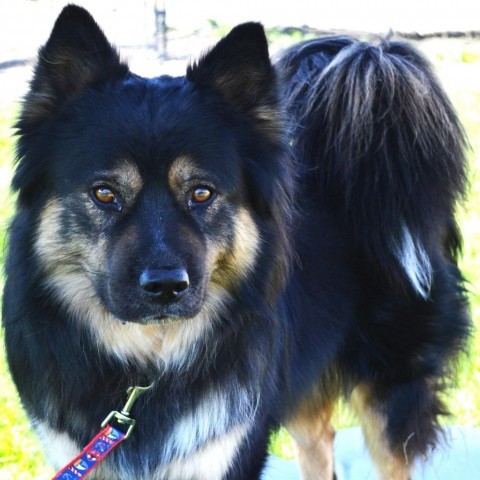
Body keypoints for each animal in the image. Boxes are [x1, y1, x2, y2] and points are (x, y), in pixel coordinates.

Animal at [2, 4, 468, 480]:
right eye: (104, 193)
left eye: (201, 193)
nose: (166, 287)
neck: (149, 363)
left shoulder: (231, 445)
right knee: (320, 441)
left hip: (389, 392)